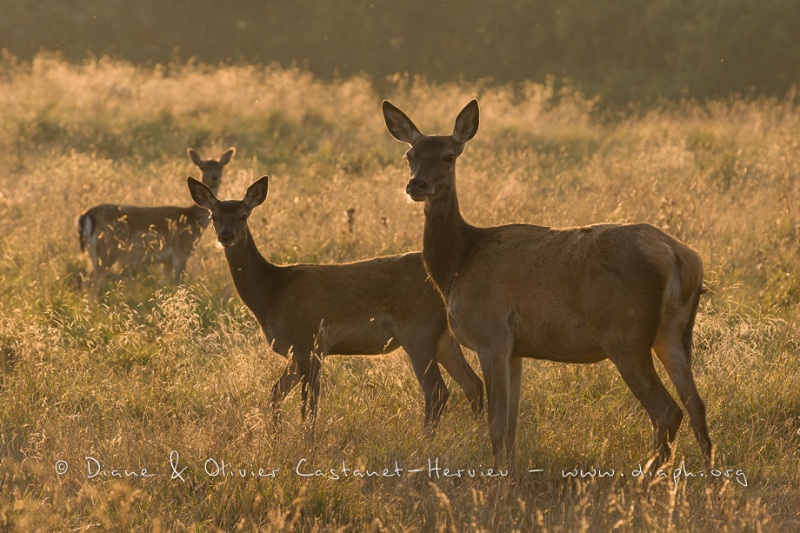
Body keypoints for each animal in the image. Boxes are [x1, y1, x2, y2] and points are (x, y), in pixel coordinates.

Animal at [76, 147, 236, 282]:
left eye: (220, 166)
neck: (194, 220)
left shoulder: (167, 260)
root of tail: (86, 216)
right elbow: (178, 283)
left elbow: (164, 284)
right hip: (107, 250)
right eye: (202, 167)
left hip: (94, 253)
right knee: (90, 281)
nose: (214, 177)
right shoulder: (181, 251)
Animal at [188, 177, 484, 430]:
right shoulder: (297, 351)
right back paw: (477, 437)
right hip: (442, 336)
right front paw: (275, 438)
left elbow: (309, 408)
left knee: (437, 391)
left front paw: (305, 447)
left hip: (417, 330)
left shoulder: (308, 342)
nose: (226, 235)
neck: (271, 294)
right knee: (473, 384)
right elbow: (276, 393)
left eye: (244, 215)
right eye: (214, 216)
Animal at [382, 97, 712, 468]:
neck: (457, 265)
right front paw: (509, 473)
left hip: (623, 332)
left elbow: (497, 425)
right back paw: (707, 474)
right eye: (410, 155)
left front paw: (496, 479)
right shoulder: (516, 348)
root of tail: (680, 257)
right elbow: (511, 425)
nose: (416, 185)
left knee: (667, 410)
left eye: (449, 156)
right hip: (675, 333)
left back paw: (649, 474)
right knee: (696, 406)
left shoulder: (491, 335)